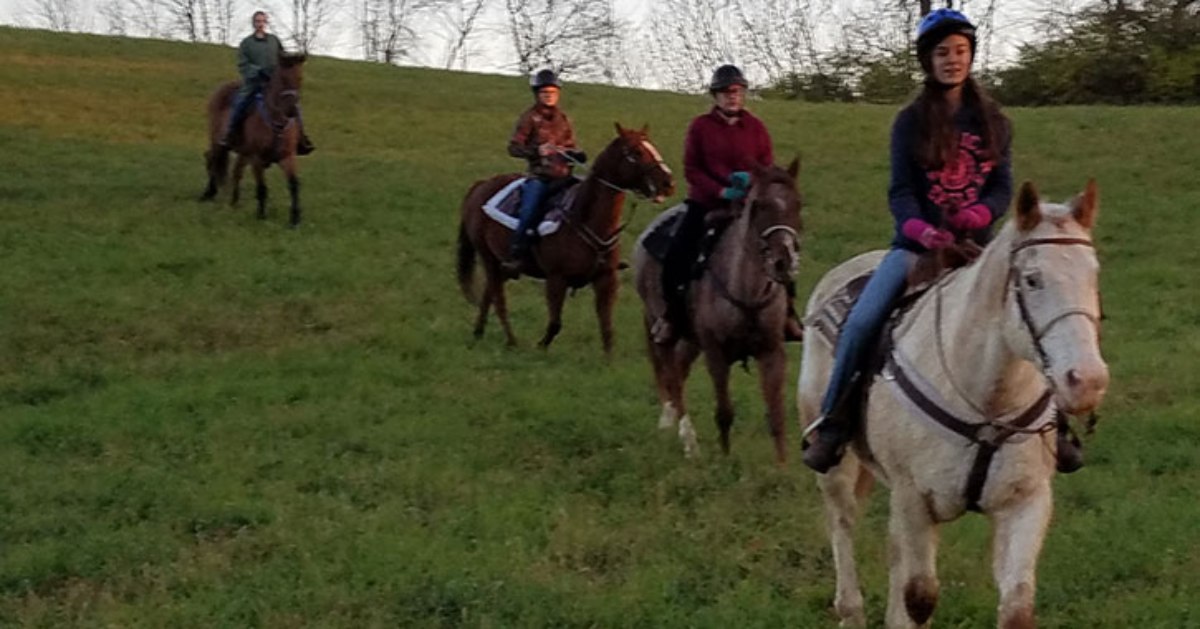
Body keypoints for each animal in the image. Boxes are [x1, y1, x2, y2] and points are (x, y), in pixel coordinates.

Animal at [201, 53, 307, 225]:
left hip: (243, 152)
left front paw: (295, 218)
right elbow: (262, 187)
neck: (276, 123)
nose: (291, 110)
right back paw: (208, 193)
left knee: (235, 171)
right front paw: (261, 215)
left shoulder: (287, 157)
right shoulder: (256, 158)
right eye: (282, 79)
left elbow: (294, 184)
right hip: (217, 141)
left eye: (300, 78)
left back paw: (234, 201)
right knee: (213, 160)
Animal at [453, 123, 676, 355]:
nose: (668, 183)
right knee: (499, 300)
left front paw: (609, 360)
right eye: (636, 152)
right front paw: (540, 347)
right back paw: (511, 341)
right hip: (489, 258)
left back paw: (478, 333)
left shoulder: (606, 279)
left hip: (503, 266)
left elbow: (607, 327)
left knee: (488, 294)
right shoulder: (556, 279)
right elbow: (555, 323)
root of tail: (480, 186)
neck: (585, 219)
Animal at [633, 159, 801, 463]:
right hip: (661, 325)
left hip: (690, 340)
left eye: (798, 203)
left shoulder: (772, 351)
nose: (784, 262)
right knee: (672, 378)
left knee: (679, 370)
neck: (746, 290)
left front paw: (782, 465)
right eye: (759, 205)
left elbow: (776, 414)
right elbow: (724, 412)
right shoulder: (716, 353)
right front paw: (724, 459)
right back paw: (687, 440)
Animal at [792, 178, 1108, 624]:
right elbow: (920, 597)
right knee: (843, 525)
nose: (1087, 381)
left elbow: (1016, 607)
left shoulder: (1027, 501)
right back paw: (850, 610)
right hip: (836, 470)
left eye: (1093, 275)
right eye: (1032, 279)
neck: (987, 402)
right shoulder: (913, 499)